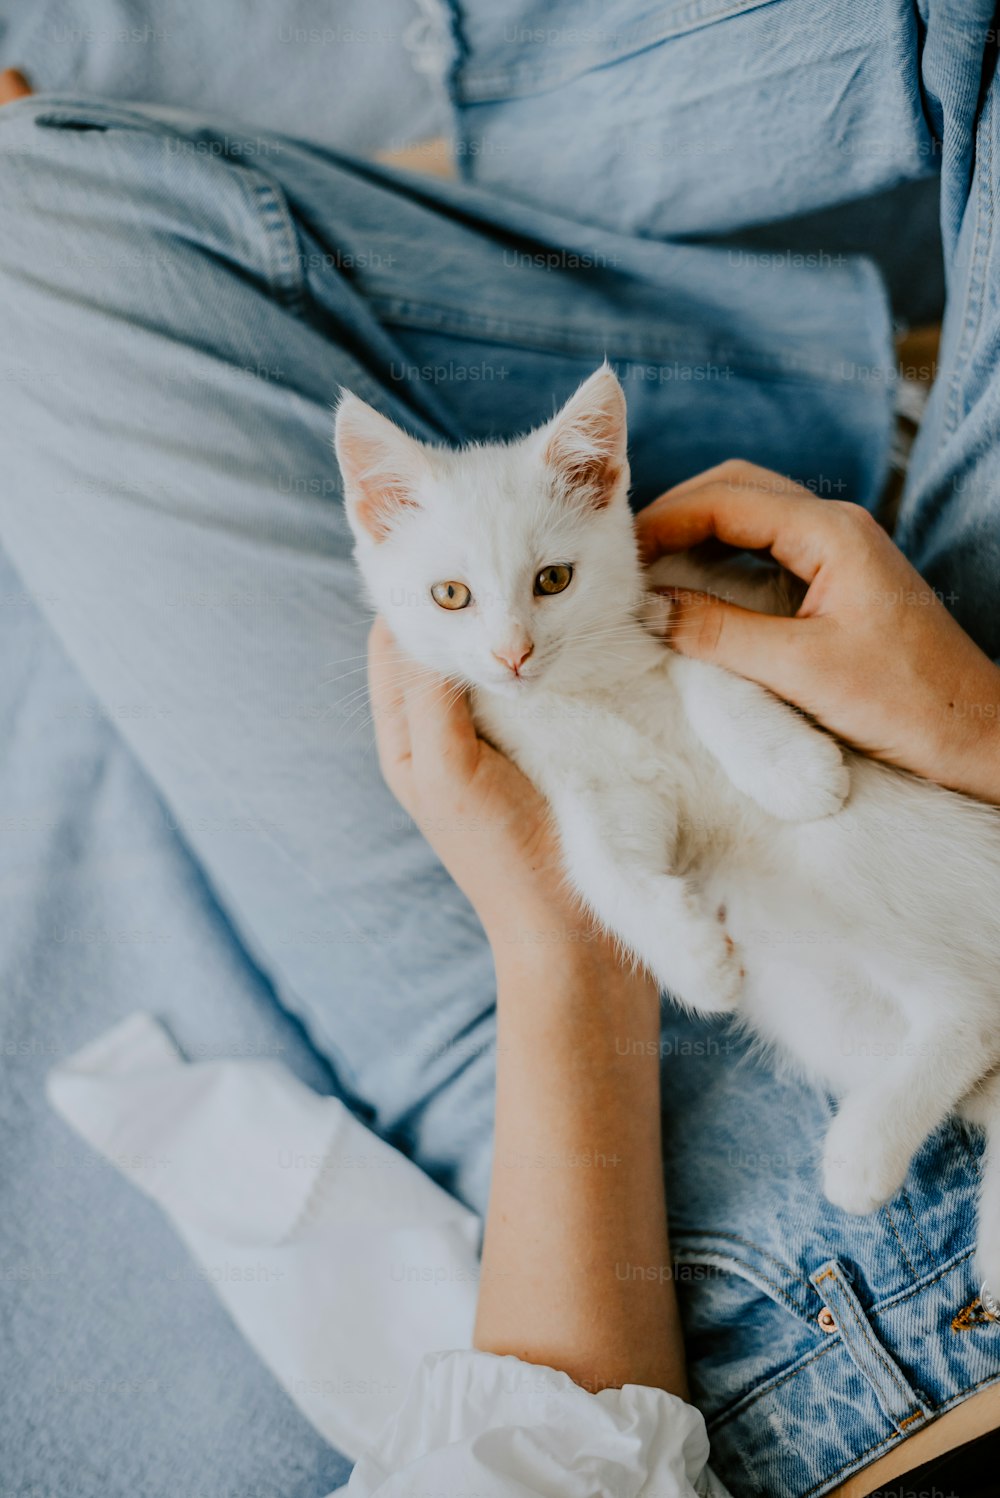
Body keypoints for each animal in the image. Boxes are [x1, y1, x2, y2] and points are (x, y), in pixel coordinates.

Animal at [338, 368, 1000, 1294]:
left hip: (879, 858)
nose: (512, 656)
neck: (584, 688)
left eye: (553, 579)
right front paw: (692, 959)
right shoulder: (578, 785)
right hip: (826, 991)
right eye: (451, 595)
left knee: (967, 1005)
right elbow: (597, 862)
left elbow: (709, 663)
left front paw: (792, 769)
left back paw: (860, 1157)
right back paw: (872, 1153)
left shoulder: (713, 605)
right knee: (971, 1017)